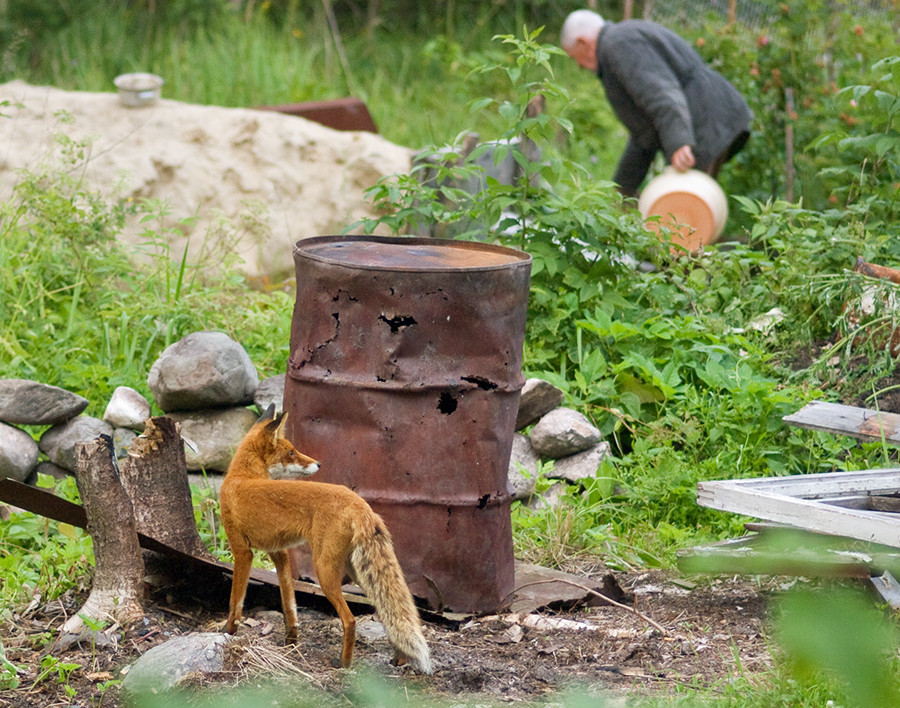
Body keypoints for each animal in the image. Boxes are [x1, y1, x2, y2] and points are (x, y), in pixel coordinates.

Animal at [217, 406, 428, 672]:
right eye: (291, 452)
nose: (318, 463)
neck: (242, 476)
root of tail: (359, 503)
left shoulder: (242, 550)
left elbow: (235, 601)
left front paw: (228, 631)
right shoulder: (279, 553)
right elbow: (289, 604)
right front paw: (291, 640)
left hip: (324, 571)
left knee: (350, 620)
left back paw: (344, 663)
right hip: (358, 572)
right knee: (389, 611)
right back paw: (399, 658)